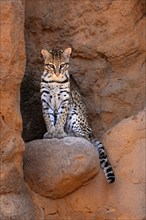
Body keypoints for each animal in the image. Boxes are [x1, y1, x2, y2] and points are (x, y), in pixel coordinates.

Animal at [40, 48, 114, 184]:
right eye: (51, 65)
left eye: (62, 65)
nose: (57, 74)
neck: (55, 81)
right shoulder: (45, 101)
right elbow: (48, 118)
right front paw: (50, 132)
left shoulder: (66, 100)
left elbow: (61, 118)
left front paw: (59, 132)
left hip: (76, 115)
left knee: (86, 138)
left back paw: (71, 134)